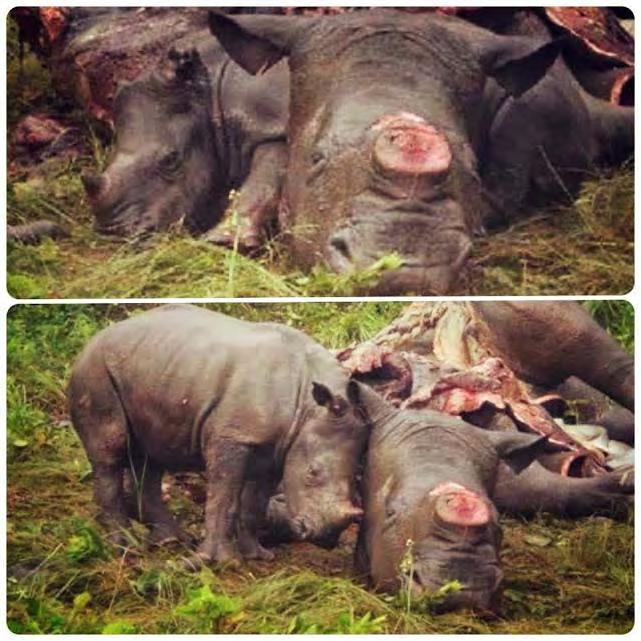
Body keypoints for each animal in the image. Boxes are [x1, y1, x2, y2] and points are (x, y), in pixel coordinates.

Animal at [67, 304, 368, 564]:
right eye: (312, 473)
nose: (325, 539)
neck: (307, 405)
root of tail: (92, 340)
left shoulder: (275, 449)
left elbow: (254, 504)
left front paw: (257, 556)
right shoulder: (233, 436)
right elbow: (224, 496)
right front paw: (222, 561)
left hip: (155, 366)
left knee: (150, 456)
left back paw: (170, 541)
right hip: (95, 371)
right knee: (110, 452)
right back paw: (124, 546)